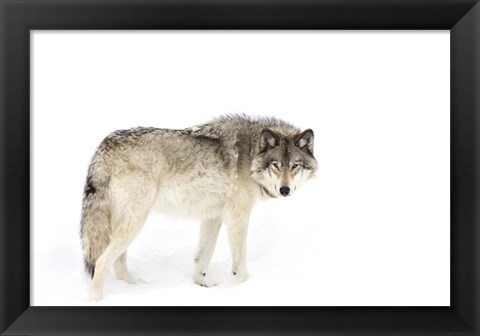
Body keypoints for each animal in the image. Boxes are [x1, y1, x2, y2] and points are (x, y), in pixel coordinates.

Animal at [80, 113, 316, 300]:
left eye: (294, 166)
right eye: (276, 165)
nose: (285, 190)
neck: (250, 154)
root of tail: (104, 146)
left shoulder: (213, 217)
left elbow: (202, 257)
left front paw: (201, 284)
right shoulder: (237, 218)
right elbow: (240, 266)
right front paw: (242, 288)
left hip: (127, 224)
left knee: (118, 263)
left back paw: (135, 287)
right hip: (134, 222)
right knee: (101, 262)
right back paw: (97, 300)